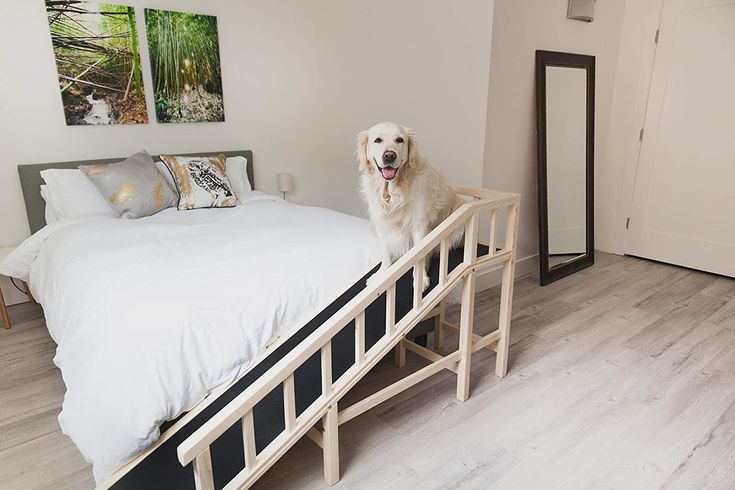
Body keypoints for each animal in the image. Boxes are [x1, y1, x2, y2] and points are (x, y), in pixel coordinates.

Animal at [356, 122, 462, 290]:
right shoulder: (382, 224)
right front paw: (382, 274)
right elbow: (386, 253)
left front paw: (421, 280)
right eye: (377, 140)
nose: (389, 155)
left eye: (400, 140)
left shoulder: (419, 224)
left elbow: (420, 255)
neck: (392, 193)